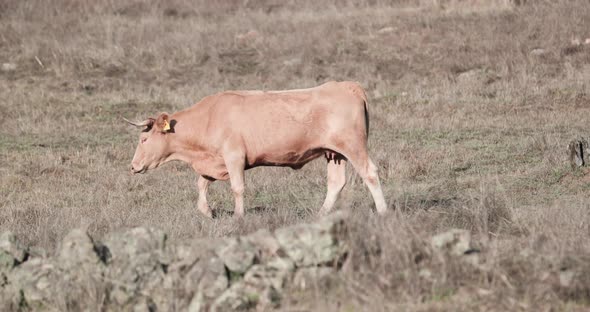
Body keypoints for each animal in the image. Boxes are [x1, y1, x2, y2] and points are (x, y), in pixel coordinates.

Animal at [126, 80, 388, 217]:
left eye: (143, 140)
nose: (133, 166)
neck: (210, 117)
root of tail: (347, 86)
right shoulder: (213, 161)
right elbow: (201, 183)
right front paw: (206, 210)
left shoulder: (234, 157)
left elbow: (237, 188)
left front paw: (239, 216)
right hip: (335, 153)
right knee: (336, 182)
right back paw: (321, 214)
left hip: (353, 146)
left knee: (370, 173)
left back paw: (383, 211)